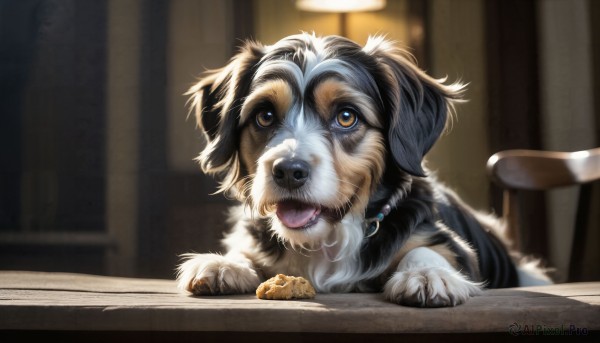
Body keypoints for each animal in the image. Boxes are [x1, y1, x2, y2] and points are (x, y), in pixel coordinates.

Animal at [175, 32, 552, 308]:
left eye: (346, 116)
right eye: (264, 115)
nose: (288, 171)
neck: (327, 240)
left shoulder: (452, 244)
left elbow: (426, 249)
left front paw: (427, 274)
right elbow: (244, 250)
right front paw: (223, 263)